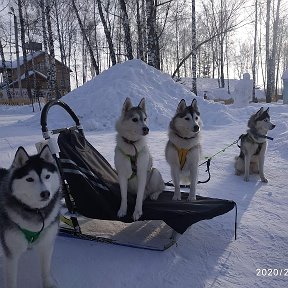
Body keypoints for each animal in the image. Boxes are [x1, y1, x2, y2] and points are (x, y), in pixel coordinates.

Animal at [0, 146, 61, 288]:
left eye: (47, 176)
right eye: (29, 179)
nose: (45, 193)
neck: (35, 211)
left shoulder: (47, 244)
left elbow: (45, 269)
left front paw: (48, 284)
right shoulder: (12, 252)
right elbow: (11, 279)